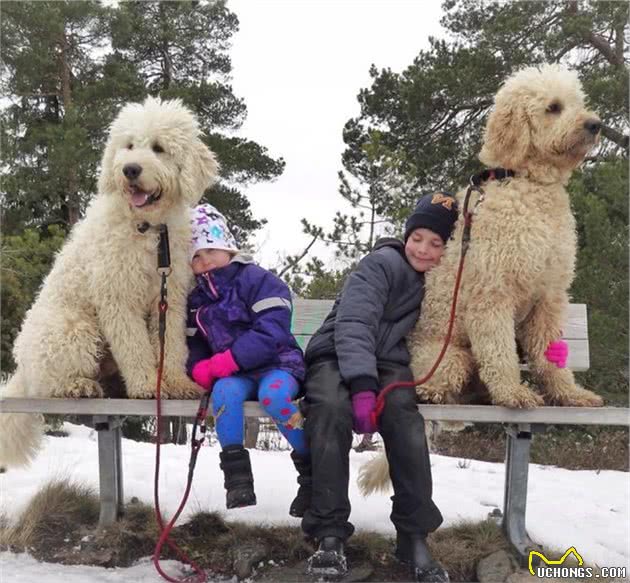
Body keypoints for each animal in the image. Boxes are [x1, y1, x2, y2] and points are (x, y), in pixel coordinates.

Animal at [0, 97, 218, 470]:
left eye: (158, 148)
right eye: (128, 145)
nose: (130, 169)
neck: (148, 229)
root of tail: (21, 370)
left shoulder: (170, 297)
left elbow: (172, 345)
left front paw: (175, 382)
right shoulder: (118, 296)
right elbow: (134, 345)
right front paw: (146, 384)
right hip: (73, 329)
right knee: (51, 381)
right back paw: (79, 386)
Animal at [358, 65, 604, 498]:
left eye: (578, 101)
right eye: (553, 107)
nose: (595, 125)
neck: (529, 184)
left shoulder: (550, 296)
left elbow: (549, 355)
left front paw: (570, 394)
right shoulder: (493, 294)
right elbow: (501, 353)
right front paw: (513, 392)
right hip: (452, 358)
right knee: (445, 386)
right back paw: (436, 392)